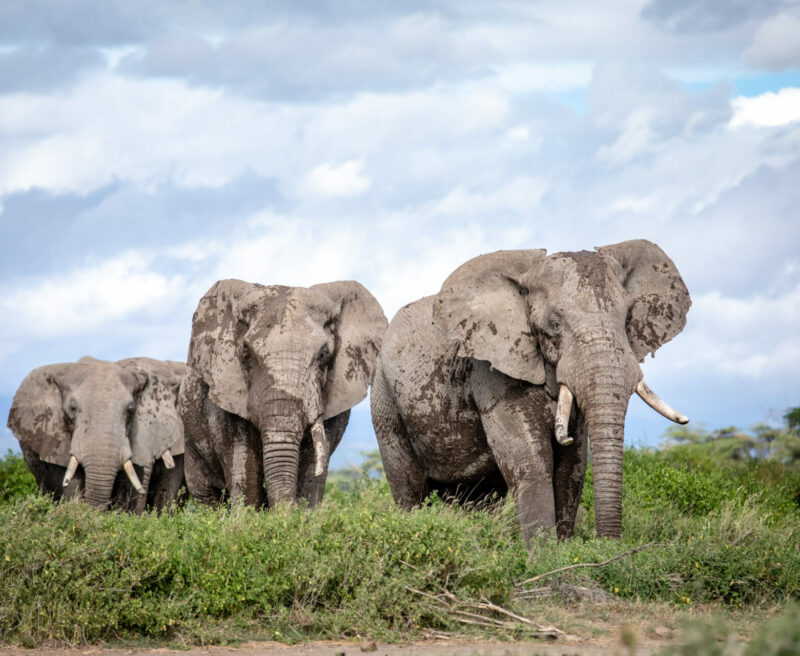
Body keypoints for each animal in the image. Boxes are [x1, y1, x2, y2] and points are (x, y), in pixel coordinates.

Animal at [372, 240, 692, 540]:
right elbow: (529, 462)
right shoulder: (491, 369)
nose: (609, 544)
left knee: (479, 497)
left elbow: (571, 467)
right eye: (554, 324)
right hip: (384, 396)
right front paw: (544, 555)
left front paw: (564, 551)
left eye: (627, 318)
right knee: (409, 487)